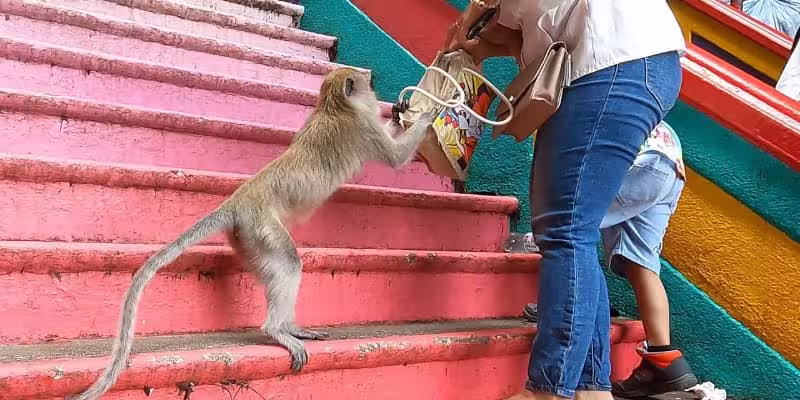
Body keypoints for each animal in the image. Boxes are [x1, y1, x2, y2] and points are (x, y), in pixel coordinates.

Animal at [70, 67, 435, 400]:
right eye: (368, 80)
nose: (376, 82)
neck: (333, 106)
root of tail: (239, 201)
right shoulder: (363, 129)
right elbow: (396, 157)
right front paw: (429, 114)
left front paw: (403, 112)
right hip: (262, 228)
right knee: (289, 263)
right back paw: (277, 330)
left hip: (245, 241)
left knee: (275, 269)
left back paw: (289, 327)